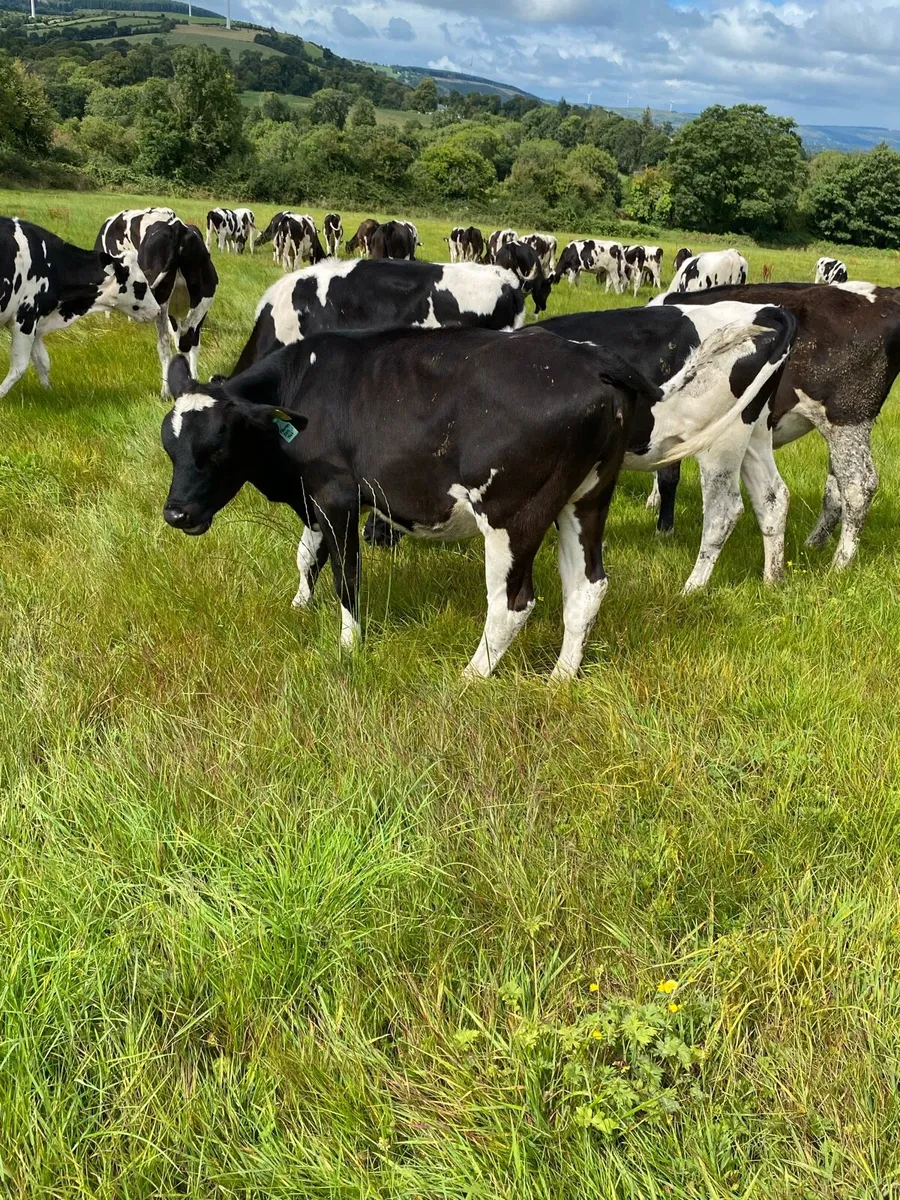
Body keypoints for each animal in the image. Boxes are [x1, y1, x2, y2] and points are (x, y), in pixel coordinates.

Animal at [0, 216, 159, 398]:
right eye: (141, 285)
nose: (158, 310)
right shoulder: (26, 316)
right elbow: (19, 367)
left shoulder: (36, 321)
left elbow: (43, 362)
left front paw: (49, 393)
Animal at [96, 207, 218, 397]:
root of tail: (176, 228)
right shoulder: (177, 312)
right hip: (200, 297)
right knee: (178, 341)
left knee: (169, 344)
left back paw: (168, 390)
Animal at [161, 316, 787, 678]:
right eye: (171, 446)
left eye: (217, 447)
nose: (176, 512)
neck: (302, 386)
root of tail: (594, 360)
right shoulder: (316, 499)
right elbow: (305, 555)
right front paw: (298, 606)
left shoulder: (338, 497)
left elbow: (345, 575)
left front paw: (348, 646)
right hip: (585, 500)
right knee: (587, 589)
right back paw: (560, 678)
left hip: (513, 515)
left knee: (513, 604)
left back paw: (470, 678)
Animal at [648, 282, 900, 570]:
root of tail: (885, 294)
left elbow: (667, 476)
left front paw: (663, 531)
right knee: (836, 488)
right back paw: (814, 544)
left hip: (847, 416)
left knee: (858, 485)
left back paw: (840, 563)